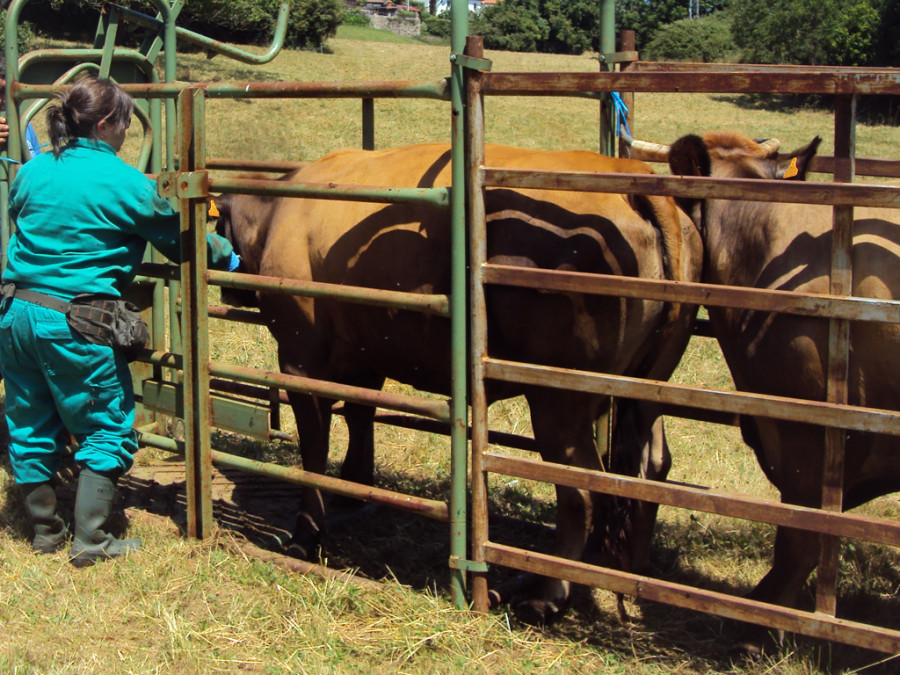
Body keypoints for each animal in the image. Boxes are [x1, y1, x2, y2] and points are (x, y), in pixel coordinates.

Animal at [213, 143, 704, 624]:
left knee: (580, 486)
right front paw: (355, 487)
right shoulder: (365, 351)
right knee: (652, 466)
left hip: (559, 397)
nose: (226, 290)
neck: (278, 213)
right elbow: (359, 414)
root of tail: (631, 177)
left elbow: (314, 449)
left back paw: (549, 596)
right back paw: (629, 574)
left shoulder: (299, 357)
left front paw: (306, 534)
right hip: (648, 385)